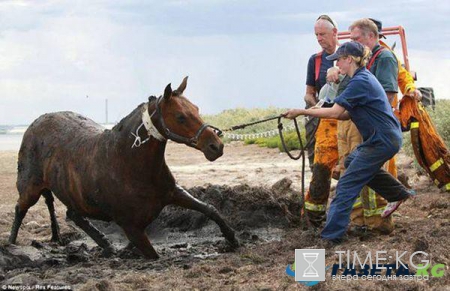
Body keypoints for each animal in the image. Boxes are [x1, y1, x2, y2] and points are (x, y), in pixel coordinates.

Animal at [8, 77, 239, 260]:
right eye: (180, 116)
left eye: (197, 109)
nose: (216, 146)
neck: (127, 163)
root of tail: (34, 124)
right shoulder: (132, 228)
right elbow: (153, 255)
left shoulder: (173, 193)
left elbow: (210, 209)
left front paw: (233, 239)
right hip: (30, 189)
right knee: (20, 209)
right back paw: (11, 244)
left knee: (72, 215)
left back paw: (106, 245)